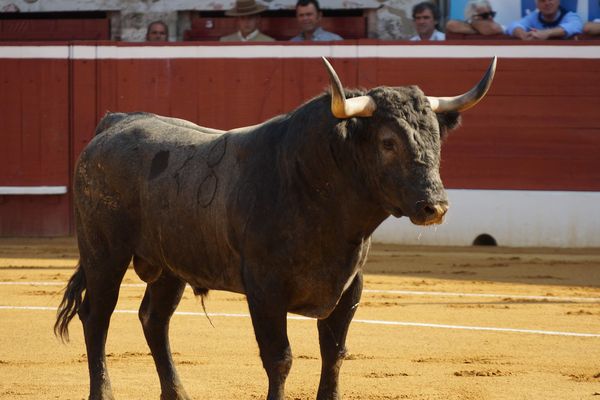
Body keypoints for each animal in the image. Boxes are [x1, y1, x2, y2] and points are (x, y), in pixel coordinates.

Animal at [55, 57, 496, 400]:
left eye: (436, 138)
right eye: (388, 142)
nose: (434, 206)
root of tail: (113, 123)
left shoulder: (349, 287)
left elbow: (334, 354)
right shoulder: (265, 289)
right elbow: (279, 358)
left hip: (169, 266)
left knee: (153, 319)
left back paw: (177, 393)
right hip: (104, 254)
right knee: (97, 317)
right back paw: (103, 392)